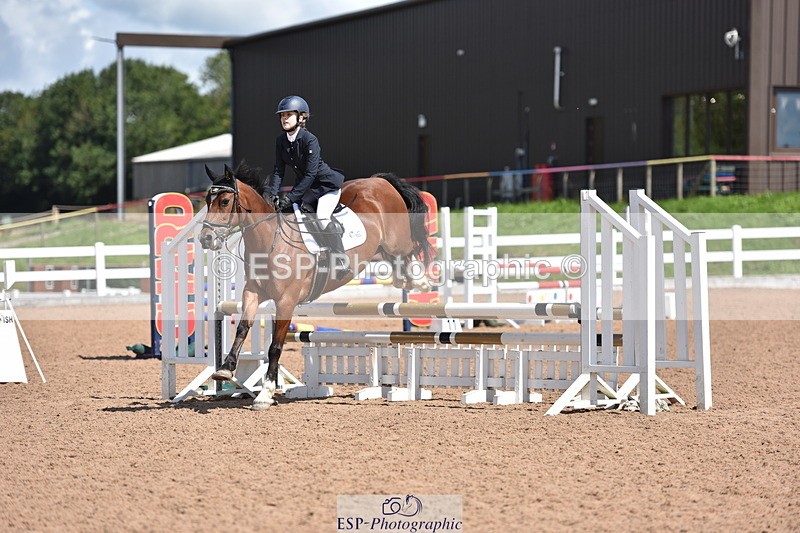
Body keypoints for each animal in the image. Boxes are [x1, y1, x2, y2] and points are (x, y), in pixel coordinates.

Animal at [199, 163, 435, 410]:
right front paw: (225, 370)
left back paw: (420, 280)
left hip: (396, 240)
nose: (205, 239)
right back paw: (404, 279)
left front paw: (265, 393)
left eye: (225, 201)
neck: (271, 240)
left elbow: (275, 346)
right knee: (395, 258)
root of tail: (379, 181)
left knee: (411, 247)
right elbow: (242, 328)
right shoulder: (253, 293)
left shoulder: (286, 302)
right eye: (207, 200)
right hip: (381, 247)